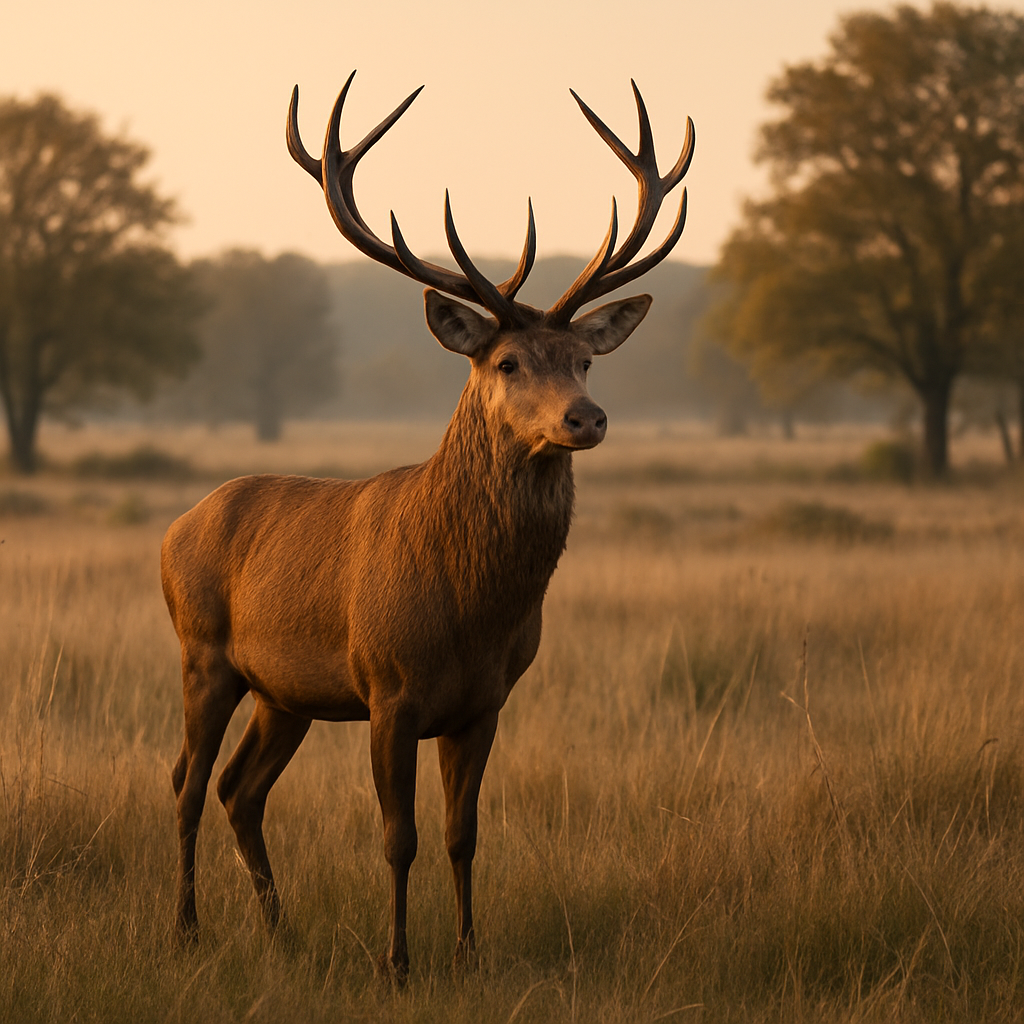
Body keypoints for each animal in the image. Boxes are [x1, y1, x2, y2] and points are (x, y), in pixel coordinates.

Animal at [161, 71, 693, 980]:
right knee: (188, 783)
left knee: (240, 789)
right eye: (507, 362)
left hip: (285, 691)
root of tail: (172, 532)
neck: (471, 610)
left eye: (584, 358)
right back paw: (188, 930)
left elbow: (462, 834)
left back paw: (280, 932)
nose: (586, 418)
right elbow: (397, 839)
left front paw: (471, 952)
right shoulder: (388, 688)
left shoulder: (485, 701)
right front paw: (398, 963)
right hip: (203, 654)